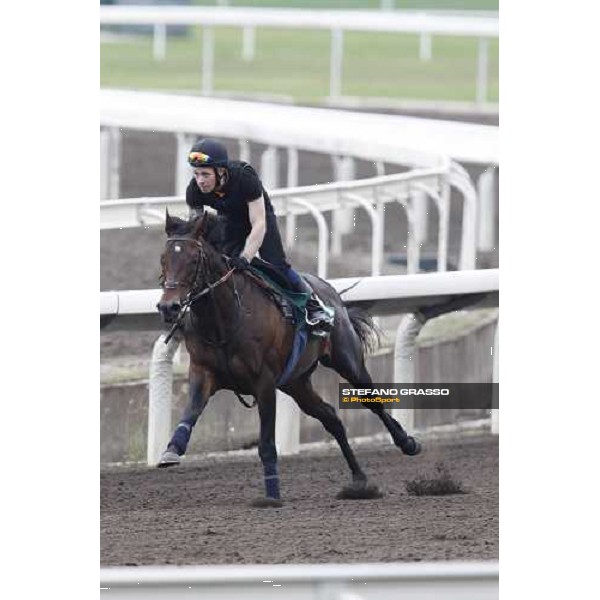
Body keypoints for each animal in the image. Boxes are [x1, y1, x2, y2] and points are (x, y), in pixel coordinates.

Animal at [156, 211, 422, 506]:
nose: (169, 307)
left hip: (347, 362)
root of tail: (330, 291)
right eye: (164, 259)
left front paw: (272, 494)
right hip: (296, 383)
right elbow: (190, 413)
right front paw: (171, 450)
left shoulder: (264, 382)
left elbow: (266, 443)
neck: (224, 321)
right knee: (331, 417)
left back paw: (407, 442)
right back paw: (359, 479)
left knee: (372, 401)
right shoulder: (203, 372)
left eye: (193, 260)